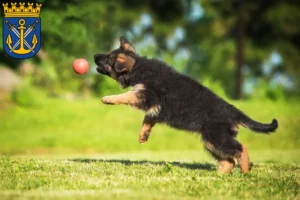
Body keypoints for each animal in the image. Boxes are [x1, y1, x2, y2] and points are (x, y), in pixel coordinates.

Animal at [94, 36, 278, 173]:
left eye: (108, 58)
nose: (95, 56)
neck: (138, 68)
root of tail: (233, 111)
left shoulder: (146, 95)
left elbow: (126, 96)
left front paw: (108, 98)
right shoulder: (155, 107)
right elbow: (148, 119)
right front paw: (143, 135)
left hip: (216, 136)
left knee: (241, 149)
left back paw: (246, 170)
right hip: (211, 140)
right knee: (229, 161)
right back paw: (219, 176)